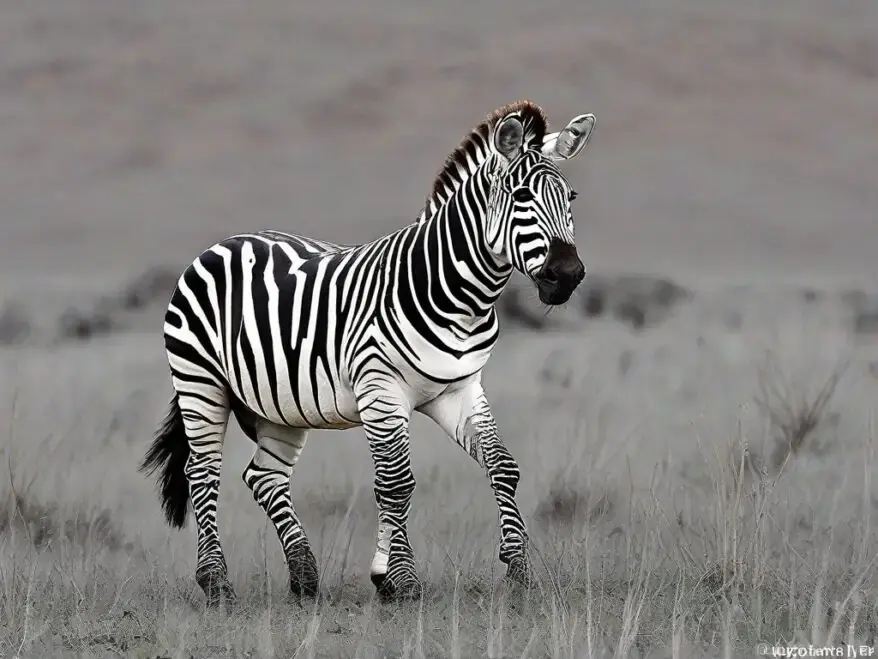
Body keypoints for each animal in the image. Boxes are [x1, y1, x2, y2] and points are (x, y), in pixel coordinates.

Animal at [140, 100, 595, 605]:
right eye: (520, 196)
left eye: (571, 197)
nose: (567, 275)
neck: (457, 296)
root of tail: (227, 241)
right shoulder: (381, 390)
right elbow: (396, 484)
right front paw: (402, 580)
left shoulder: (459, 389)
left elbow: (502, 466)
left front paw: (516, 569)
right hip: (200, 382)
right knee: (203, 473)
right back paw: (217, 582)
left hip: (279, 403)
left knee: (265, 476)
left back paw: (304, 576)